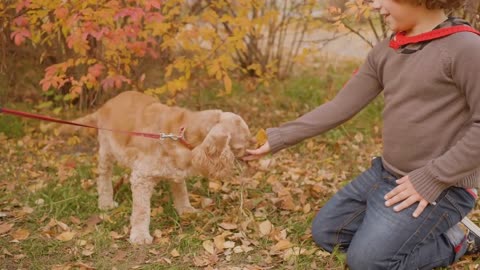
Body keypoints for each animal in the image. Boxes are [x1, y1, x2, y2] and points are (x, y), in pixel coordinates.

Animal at [60, 91, 251, 245]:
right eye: (242, 145)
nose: (252, 151)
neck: (182, 132)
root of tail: (105, 106)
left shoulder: (175, 171)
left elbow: (181, 191)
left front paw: (186, 210)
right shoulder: (141, 177)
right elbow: (142, 210)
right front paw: (140, 235)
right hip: (107, 151)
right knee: (103, 177)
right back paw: (106, 202)